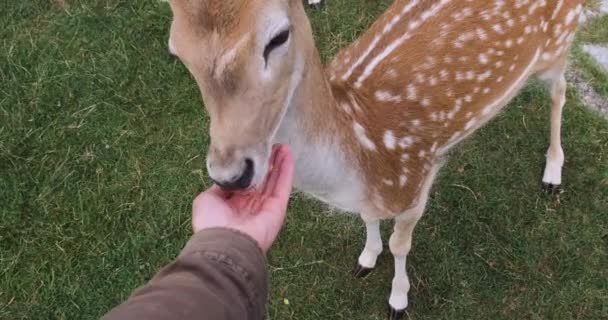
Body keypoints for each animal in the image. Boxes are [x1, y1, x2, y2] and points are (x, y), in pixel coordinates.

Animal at [165, 1, 584, 318]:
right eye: (176, 50)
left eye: (278, 36)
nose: (230, 174)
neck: (364, 149)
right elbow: (369, 220)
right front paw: (366, 258)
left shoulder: (415, 182)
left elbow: (401, 245)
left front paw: (398, 299)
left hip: (557, 44)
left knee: (560, 90)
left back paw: (552, 173)